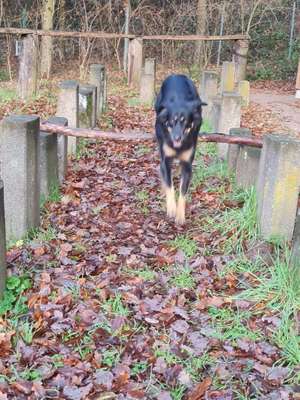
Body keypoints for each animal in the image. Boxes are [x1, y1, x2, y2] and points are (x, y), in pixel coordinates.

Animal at [155, 74, 206, 225]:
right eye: (172, 121)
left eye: (185, 121)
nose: (177, 137)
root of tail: (176, 75)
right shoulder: (165, 161)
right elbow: (169, 185)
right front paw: (171, 208)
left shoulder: (187, 165)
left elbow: (183, 191)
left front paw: (180, 215)